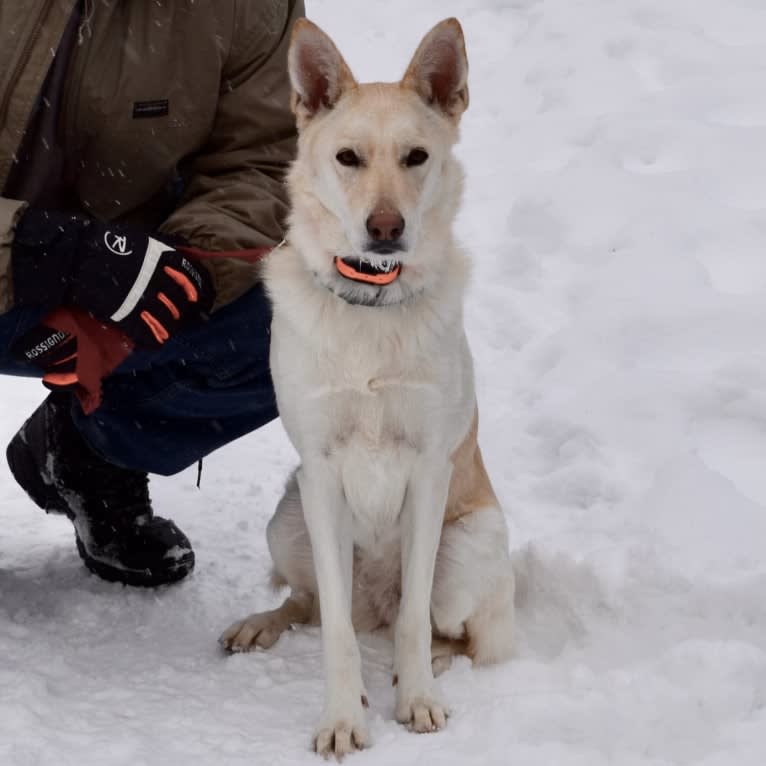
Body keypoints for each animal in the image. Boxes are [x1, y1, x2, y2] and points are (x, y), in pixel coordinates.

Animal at [220, 15, 516, 760]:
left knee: (457, 636)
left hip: (472, 545)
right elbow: (333, 631)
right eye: (348, 158)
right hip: (288, 519)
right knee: (317, 606)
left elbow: (414, 620)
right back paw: (264, 625)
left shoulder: (430, 468)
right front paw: (341, 716)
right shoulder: (322, 472)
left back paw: (425, 669)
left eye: (417, 157)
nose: (386, 229)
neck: (372, 303)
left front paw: (415, 701)